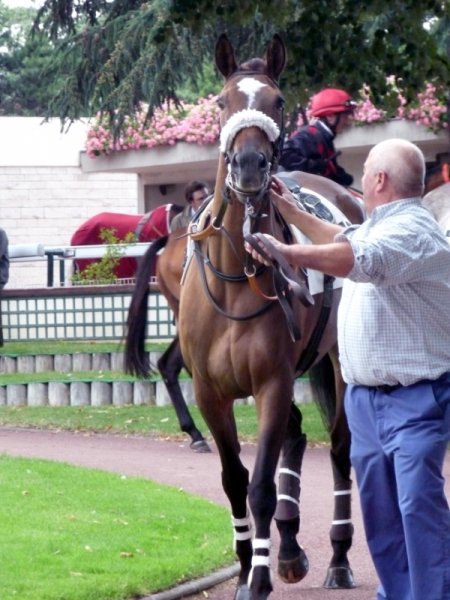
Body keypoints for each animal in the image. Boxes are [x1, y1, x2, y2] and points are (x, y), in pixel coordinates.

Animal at [124, 35, 366, 596]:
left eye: (277, 101)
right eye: (221, 102)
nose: (251, 165)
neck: (237, 276)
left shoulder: (272, 382)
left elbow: (259, 484)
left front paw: (256, 575)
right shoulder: (211, 390)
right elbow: (234, 479)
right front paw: (243, 563)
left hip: (341, 361)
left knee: (339, 445)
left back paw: (338, 557)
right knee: (297, 435)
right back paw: (292, 548)